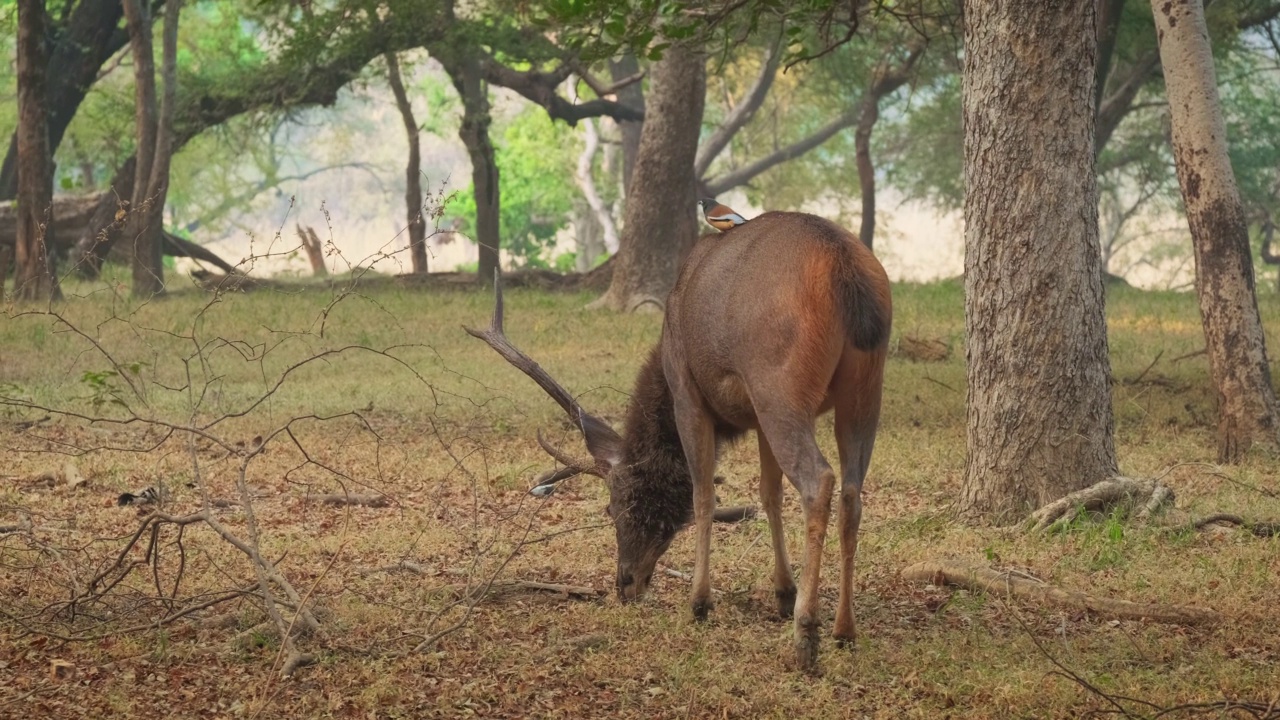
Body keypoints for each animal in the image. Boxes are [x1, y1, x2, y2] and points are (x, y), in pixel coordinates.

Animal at [465, 210, 896, 671]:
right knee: (852, 492)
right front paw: (782, 591)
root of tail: (846, 273)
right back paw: (844, 629)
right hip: (864, 389)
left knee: (819, 481)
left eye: (615, 506)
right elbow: (768, 493)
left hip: (778, 384)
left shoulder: (689, 393)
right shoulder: (755, 416)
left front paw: (700, 602)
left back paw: (806, 636)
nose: (625, 584)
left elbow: (703, 494)